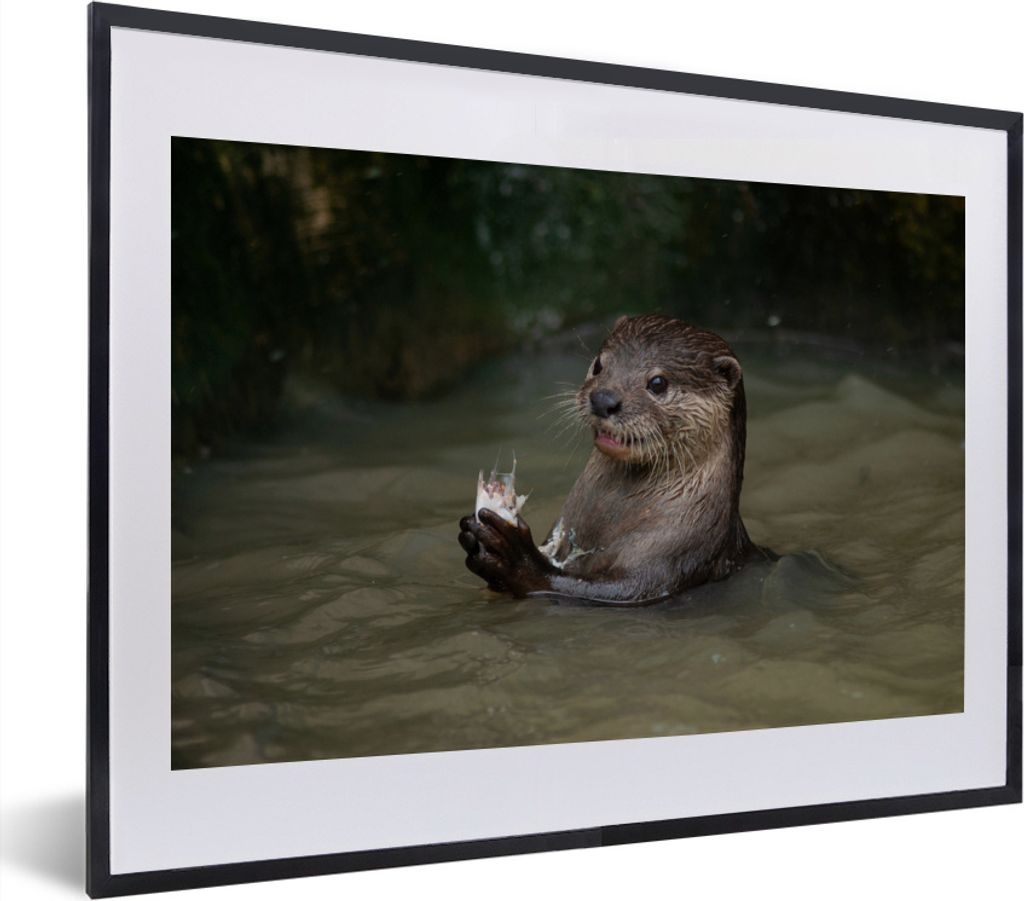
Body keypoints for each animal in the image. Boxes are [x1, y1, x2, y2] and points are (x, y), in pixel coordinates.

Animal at [458, 314, 771, 606]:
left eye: (658, 382)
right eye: (599, 365)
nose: (603, 399)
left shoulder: (676, 554)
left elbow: (612, 590)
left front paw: (515, 558)